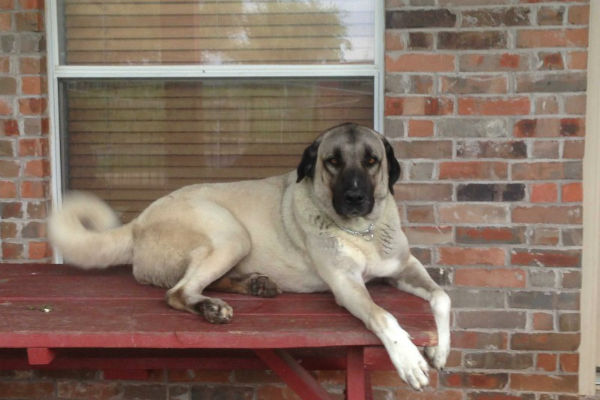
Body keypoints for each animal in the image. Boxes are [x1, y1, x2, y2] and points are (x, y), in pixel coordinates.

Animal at [48, 122, 450, 390]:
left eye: (371, 161)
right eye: (332, 162)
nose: (354, 198)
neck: (364, 230)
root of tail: (138, 221)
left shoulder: (404, 267)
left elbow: (442, 297)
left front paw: (440, 351)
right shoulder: (346, 284)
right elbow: (383, 316)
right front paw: (409, 359)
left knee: (197, 281)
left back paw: (254, 285)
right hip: (230, 234)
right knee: (177, 291)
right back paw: (212, 308)